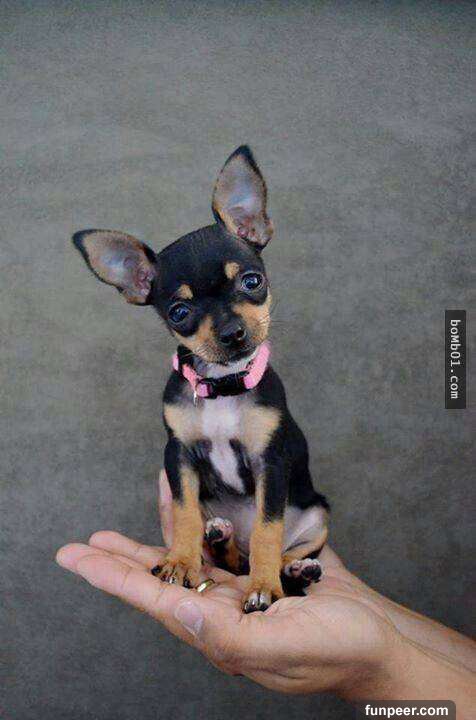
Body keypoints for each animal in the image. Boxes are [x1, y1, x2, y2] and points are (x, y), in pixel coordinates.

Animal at [72, 146, 329, 613]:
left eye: (252, 281)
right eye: (179, 312)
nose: (231, 333)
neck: (223, 387)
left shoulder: (271, 462)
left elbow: (268, 530)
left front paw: (264, 586)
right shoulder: (180, 456)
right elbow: (185, 513)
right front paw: (181, 562)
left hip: (318, 512)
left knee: (276, 549)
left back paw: (295, 570)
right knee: (229, 556)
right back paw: (222, 537)